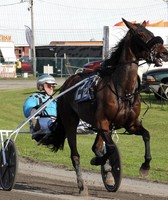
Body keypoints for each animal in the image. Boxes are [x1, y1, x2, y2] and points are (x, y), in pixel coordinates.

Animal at [41, 18, 168, 194]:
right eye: (141, 35)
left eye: (150, 32)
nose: (164, 52)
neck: (122, 90)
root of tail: (68, 82)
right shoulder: (103, 123)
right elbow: (111, 148)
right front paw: (100, 162)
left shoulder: (130, 124)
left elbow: (146, 135)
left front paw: (145, 167)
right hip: (71, 122)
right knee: (75, 155)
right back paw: (82, 185)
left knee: (97, 146)